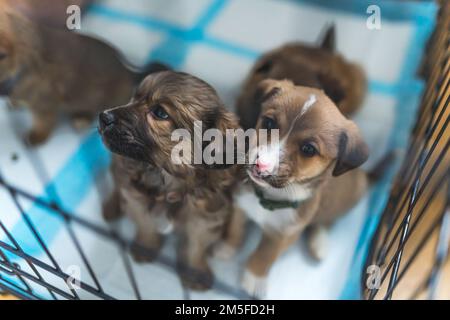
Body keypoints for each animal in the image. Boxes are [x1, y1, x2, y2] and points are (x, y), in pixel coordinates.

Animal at [0, 3, 163, 146]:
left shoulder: (45, 104)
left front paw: (36, 137)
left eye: (2, 55)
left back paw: (81, 118)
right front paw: (15, 102)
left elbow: (43, 123)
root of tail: (129, 72)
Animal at [98, 70, 243, 290]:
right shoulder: (135, 198)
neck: (167, 178)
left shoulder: (206, 217)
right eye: (134, 98)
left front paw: (195, 272)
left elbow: (196, 246)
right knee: (118, 183)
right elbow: (146, 225)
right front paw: (146, 247)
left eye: (159, 112)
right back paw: (112, 206)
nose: (103, 117)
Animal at [236, 79, 370, 298]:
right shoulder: (240, 203)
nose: (260, 165)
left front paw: (254, 278)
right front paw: (225, 247)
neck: (269, 200)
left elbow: (266, 254)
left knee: (327, 221)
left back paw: (319, 242)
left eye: (308, 149)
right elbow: (234, 227)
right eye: (269, 123)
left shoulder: (284, 234)